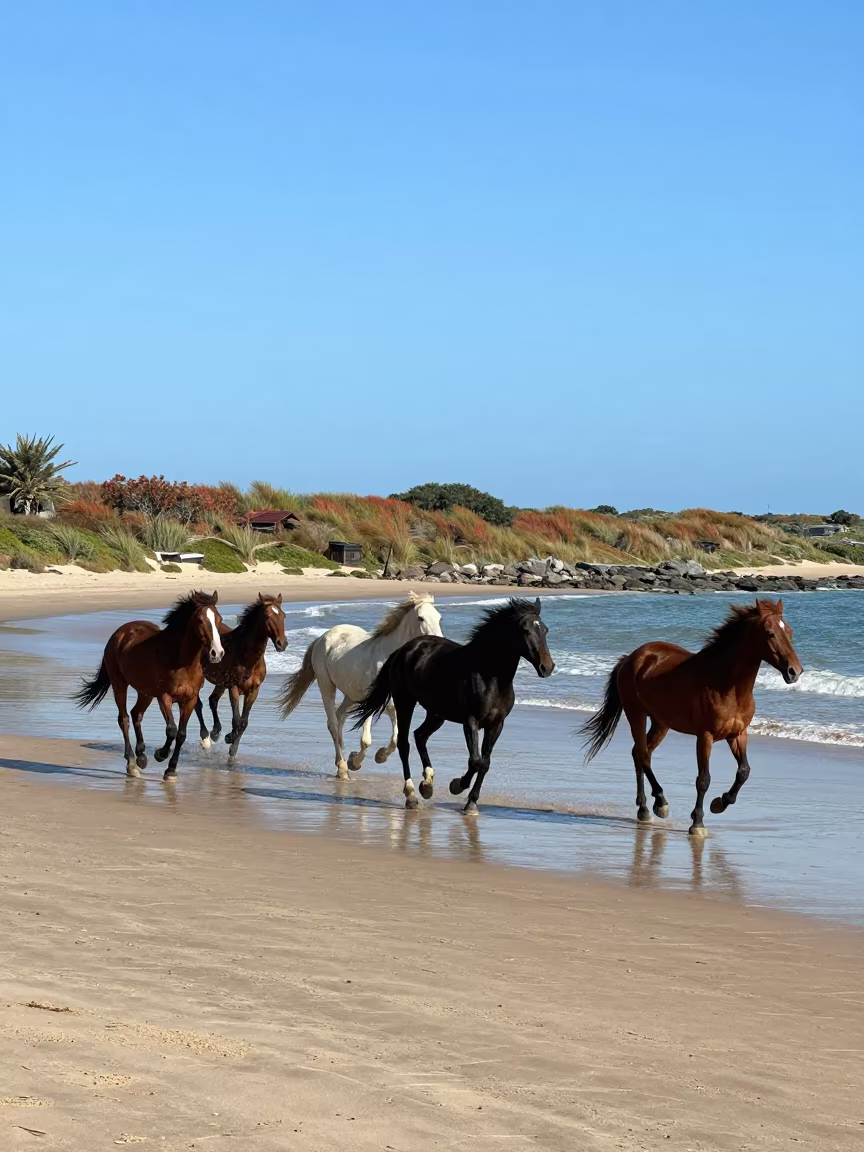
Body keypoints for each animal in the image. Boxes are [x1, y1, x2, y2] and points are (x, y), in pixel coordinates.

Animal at [73, 590, 224, 780]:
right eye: (200, 620)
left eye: (219, 619)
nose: (217, 653)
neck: (181, 662)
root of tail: (120, 632)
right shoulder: (164, 697)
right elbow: (171, 730)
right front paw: (160, 754)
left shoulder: (189, 699)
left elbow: (181, 734)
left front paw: (171, 771)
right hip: (120, 684)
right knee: (124, 718)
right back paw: (132, 763)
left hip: (145, 692)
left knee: (136, 714)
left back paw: (142, 757)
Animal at [193, 592, 287, 765]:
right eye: (267, 616)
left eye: (283, 615)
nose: (282, 644)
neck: (248, 657)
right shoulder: (234, 687)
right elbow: (236, 720)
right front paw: (230, 741)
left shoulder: (254, 690)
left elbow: (243, 722)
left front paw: (231, 745)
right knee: (198, 704)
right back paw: (206, 739)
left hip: (220, 683)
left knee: (212, 700)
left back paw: (215, 733)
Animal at [276, 591, 443, 778]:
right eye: (421, 618)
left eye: (439, 617)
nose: (438, 643)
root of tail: (322, 637)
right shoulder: (372, 702)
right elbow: (366, 740)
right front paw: (355, 762)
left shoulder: (393, 702)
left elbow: (395, 737)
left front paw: (379, 756)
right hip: (326, 685)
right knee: (333, 723)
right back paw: (343, 768)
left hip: (351, 695)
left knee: (340, 716)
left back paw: (340, 761)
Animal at [350, 597, 554, 812]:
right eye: (526, 631)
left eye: (546, 630)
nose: (547, 667)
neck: (489, 675)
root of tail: (402, 650)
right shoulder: (471, 721)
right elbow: (475, 760)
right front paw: (457, 785)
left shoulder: (496, 724)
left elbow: (485, 762)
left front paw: (471, 802)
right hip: (405, 701)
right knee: (404, 743)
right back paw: (412, 795)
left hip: (436, 713)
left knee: (420, 736)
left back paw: (427, 785)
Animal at [578, 598, 803, 837]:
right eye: (770, 633)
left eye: (790, 631)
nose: (794, 672)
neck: (726, 685)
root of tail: (630, 658)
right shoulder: (704, 736)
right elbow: (703, 779)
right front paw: (698, 823)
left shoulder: (737, 734)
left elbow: (744, 771)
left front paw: (720, 803)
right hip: (636, 715)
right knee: (643, 755)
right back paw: (660, 803)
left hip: (661, 723)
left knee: (638, 754)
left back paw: (644, 808)